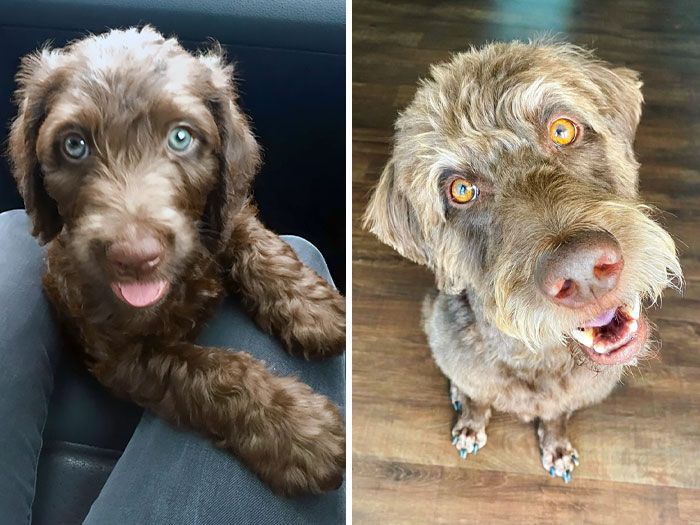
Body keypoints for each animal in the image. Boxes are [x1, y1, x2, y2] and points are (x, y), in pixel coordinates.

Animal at [8, 26, 348, 496]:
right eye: (74, 145)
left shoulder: (222, 211)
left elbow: (248, 233)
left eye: (181, 137)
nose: (135, 257)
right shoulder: (122, 357)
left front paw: (312, 309)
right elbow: (208, 372)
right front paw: (296, 428)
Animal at [364, 40, 680, 484]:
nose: (582, 270)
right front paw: (470, 425)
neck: (538, 356)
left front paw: (557, 446)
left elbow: (557, 417)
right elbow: (477, 399)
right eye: (461, 190)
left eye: (562, 129)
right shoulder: (470, 370)